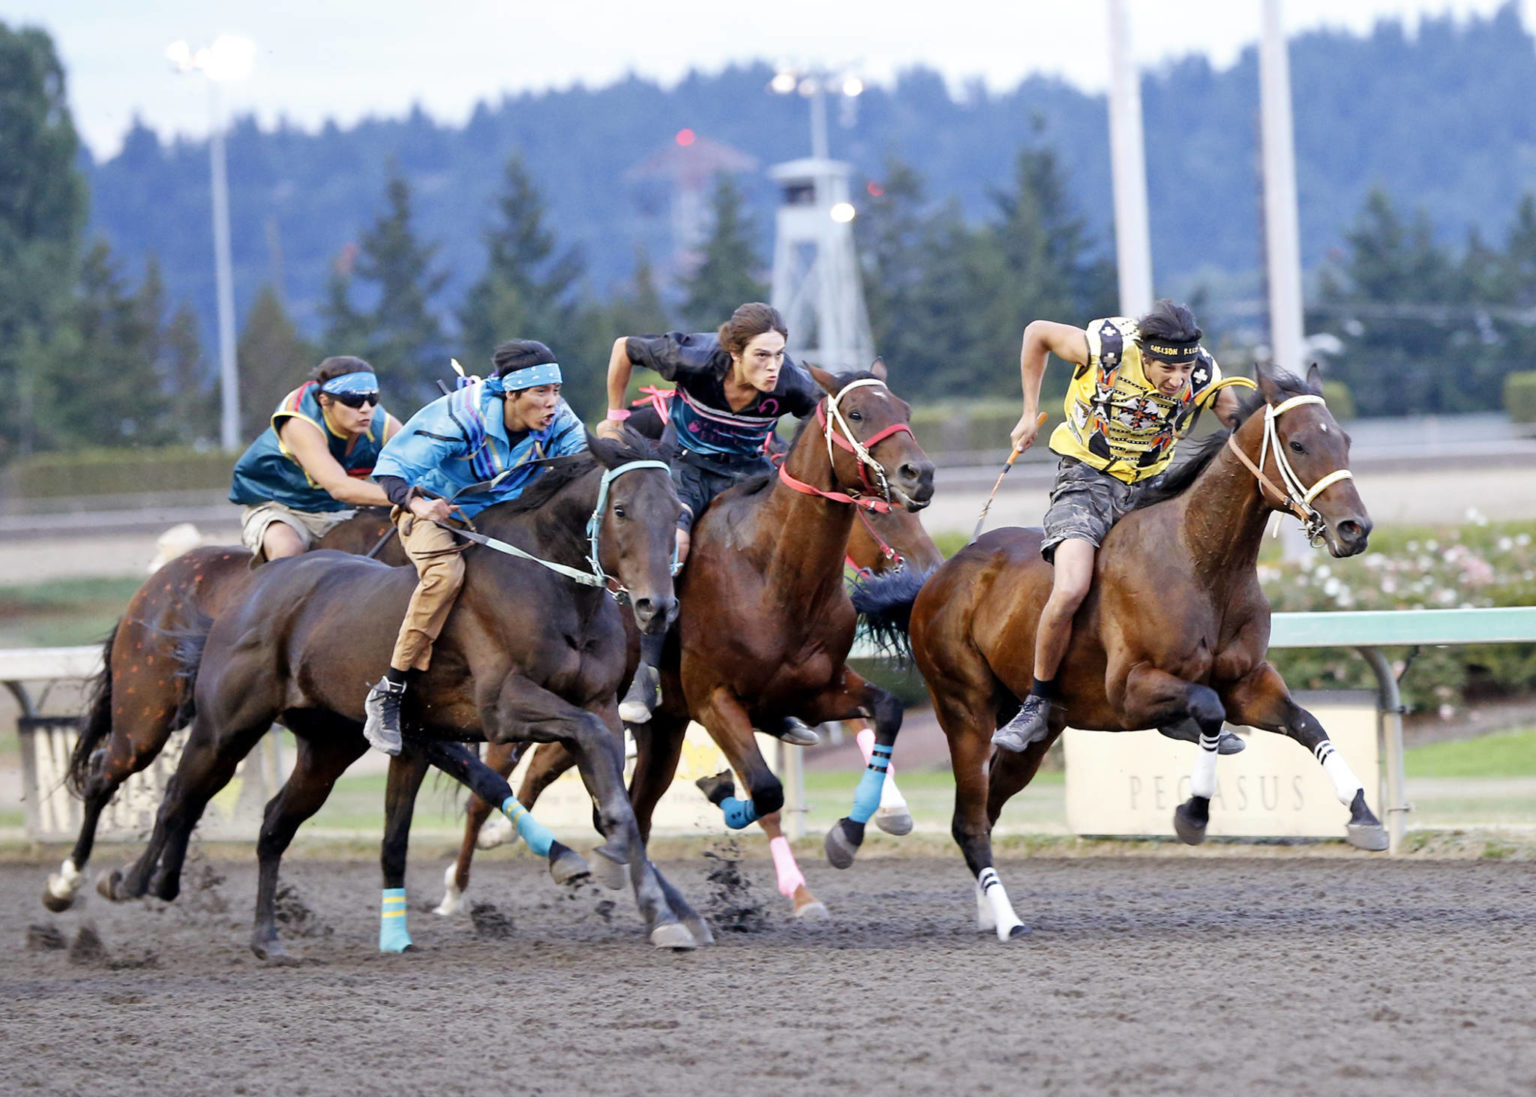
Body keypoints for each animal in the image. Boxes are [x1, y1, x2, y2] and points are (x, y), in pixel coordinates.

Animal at [41, 507, 402, 909]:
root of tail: (156, 582)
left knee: (188, 791)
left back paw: (160, 880)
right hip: (146, 717)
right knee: (107, 774)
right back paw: (69, 883)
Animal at [99, 430, 709, 952]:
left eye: (678, 511)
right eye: (622, 510)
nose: (657, 606)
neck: (551, 587)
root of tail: (250, 587)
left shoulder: (598, 705)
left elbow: (616, 799)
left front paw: (661, 909)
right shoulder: (505, 706)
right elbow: (587, 757)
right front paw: (612, 868)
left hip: (328, 744)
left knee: (273, 822)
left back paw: (265, 937)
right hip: (223, 727)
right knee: (176, 796)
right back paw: (130, 882)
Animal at [427, 485, 940, 915]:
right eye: (883, 511)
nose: (928, 566)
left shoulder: (804, 689)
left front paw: (888, 815)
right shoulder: (716, 701)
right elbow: (765, 793)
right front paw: (803, 890)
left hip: (644, 726)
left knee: (566, 778)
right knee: (491, 791)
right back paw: (456, 887)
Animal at [860, 362, 1388, 934]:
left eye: (1344, 440)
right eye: (1298, 443)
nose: (1355, 528)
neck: (1200, 561)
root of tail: (933, 581)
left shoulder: (1248, 681)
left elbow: (1306, 723)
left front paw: (1363, 813)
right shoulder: (1130, 688)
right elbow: (1208, 707)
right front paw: (1193, 812)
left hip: (1038, 736)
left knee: (987, 809)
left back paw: (989, 908)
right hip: (965, 709)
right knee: (969, 820)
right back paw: (1006, 919)